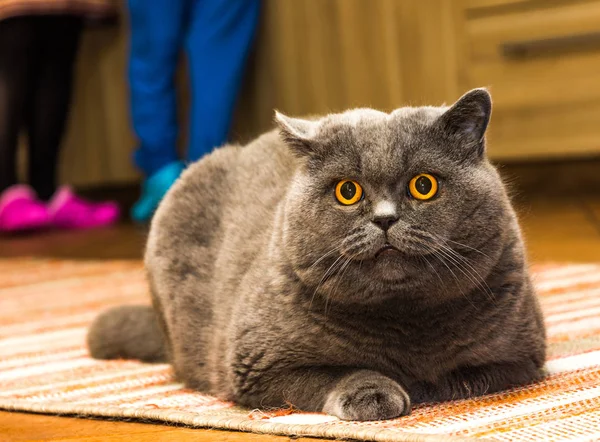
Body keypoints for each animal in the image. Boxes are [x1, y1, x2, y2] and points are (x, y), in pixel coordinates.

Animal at [88, 89, 544, 422]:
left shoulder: (520, 357)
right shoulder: (256, 365)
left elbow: (466, 375)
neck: (404, 317)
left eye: (423, 185)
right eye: (348, 191)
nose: (385, 219)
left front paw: (423, 381)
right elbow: (332, 373)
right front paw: (377, 391)